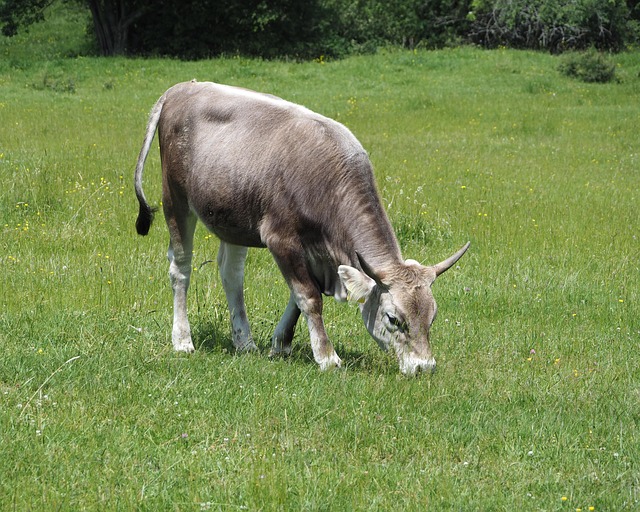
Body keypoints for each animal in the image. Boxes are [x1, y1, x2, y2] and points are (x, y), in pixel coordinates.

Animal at [134, 80, 470, 375]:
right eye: (393, 319)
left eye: (431, 317)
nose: (424, 367)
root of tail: (181, 88)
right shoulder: (281, 239)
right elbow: (308, 296)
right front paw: (327, 356)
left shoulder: (318, 255)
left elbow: (299, 298)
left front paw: (280, 344)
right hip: (175, 199)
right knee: (181, 268)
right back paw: (182, 339)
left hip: (233, 217)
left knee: (231, 274)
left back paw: (244, 341)